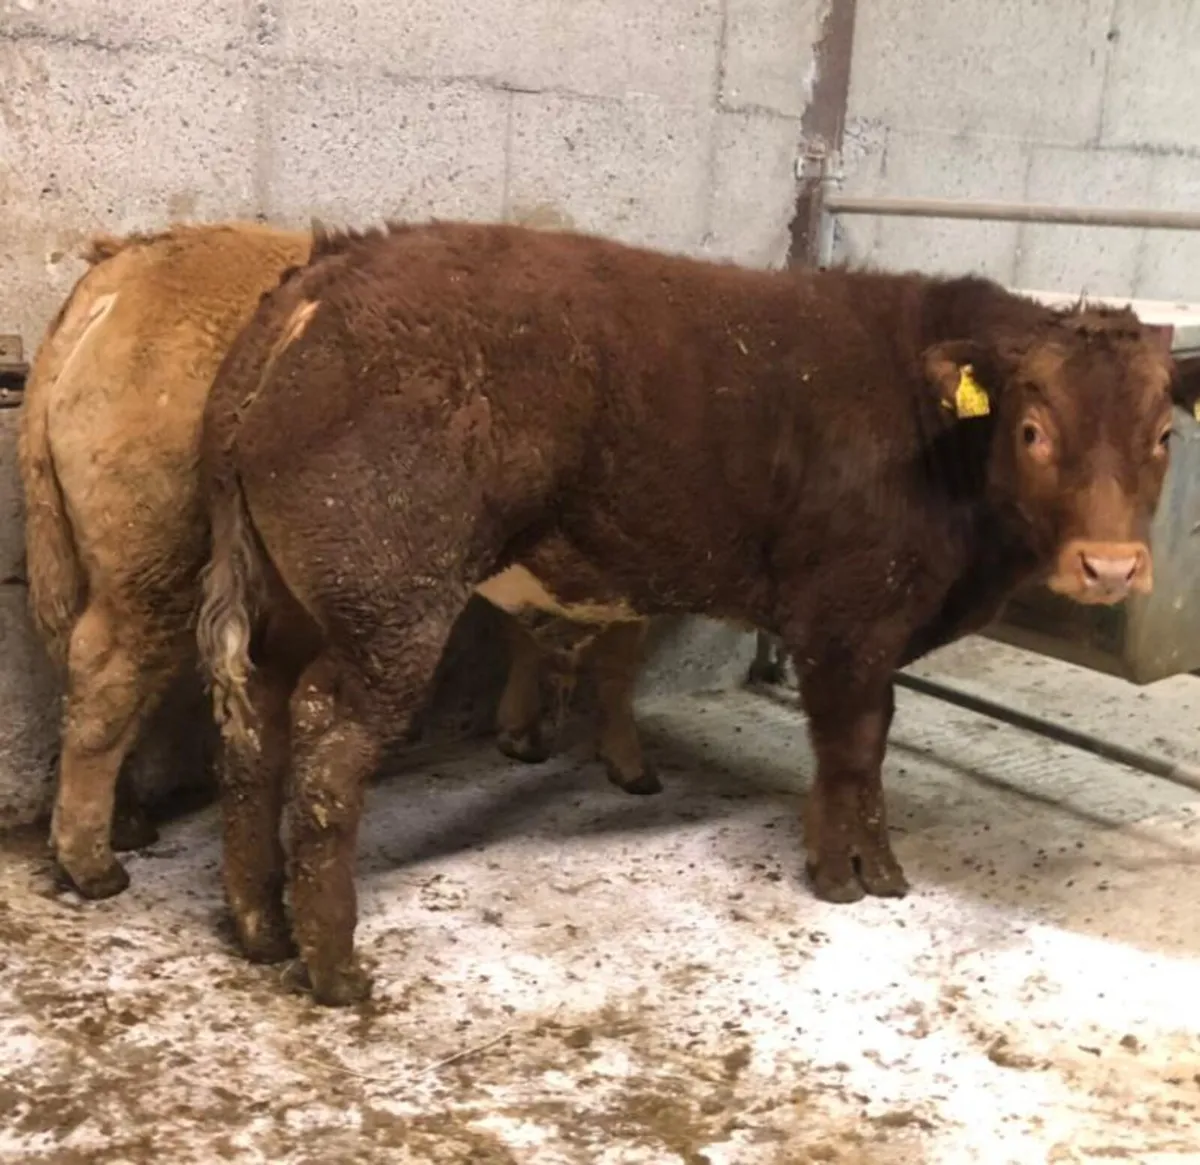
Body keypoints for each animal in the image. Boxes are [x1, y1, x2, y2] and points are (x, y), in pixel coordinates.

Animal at [20, 220, 651, 904]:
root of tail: (119, 271)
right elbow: (619, 661)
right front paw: (632, 769)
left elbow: (528, 636)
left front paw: (522, 735)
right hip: (154, 549)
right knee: (107, 671)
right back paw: (96, 868)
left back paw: (128, 825)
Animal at [196, 220, 1200, 1005]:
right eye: (1032, 430)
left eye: (1164, 434)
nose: (1111, 565)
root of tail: (327, 272)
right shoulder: (847, 618)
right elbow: (854, 747)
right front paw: (856, 876)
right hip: (391, 602)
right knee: (328, 743)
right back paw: (335, 964)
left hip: (291, 598)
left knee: (255, 724)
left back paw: (259, 925)